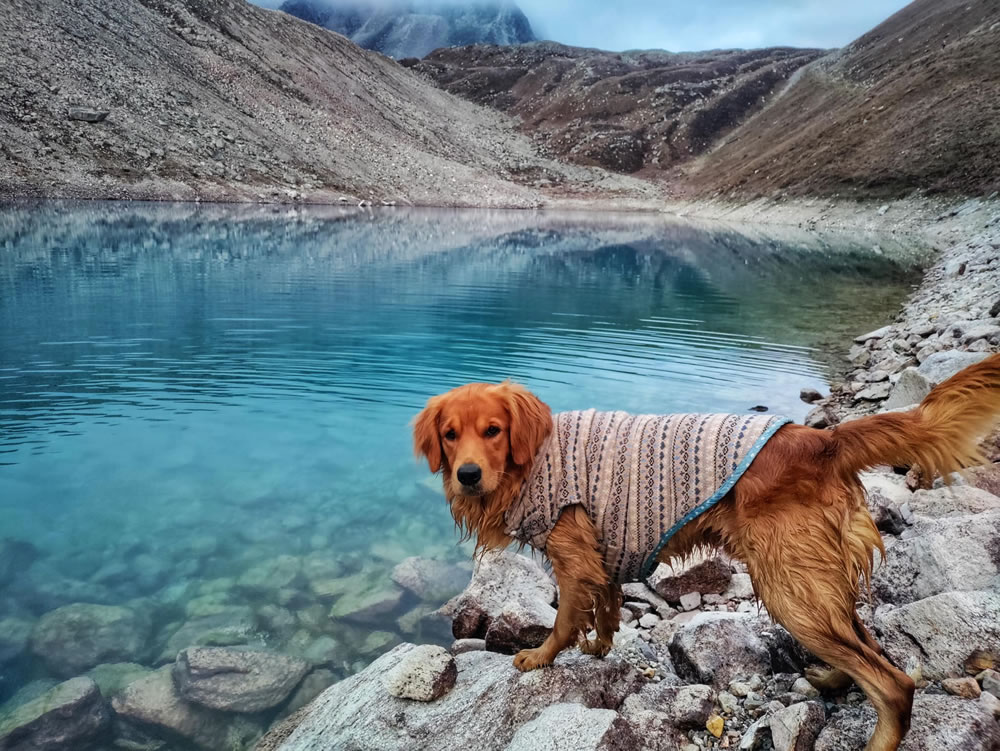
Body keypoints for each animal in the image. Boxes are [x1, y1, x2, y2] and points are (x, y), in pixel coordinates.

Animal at [412, 354, 1000, 751]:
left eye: (493, 431)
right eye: (450, 434)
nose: (467, 474)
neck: (531, 463)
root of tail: (820, 439)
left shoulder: (572, 551)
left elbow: (564, 618)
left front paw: (540, 657)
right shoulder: (600, 551)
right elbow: (606, 602)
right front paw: (600, 644)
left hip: (787, 585)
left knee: (893, 681)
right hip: (811, 577)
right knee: (861, 636)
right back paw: (833, 679)